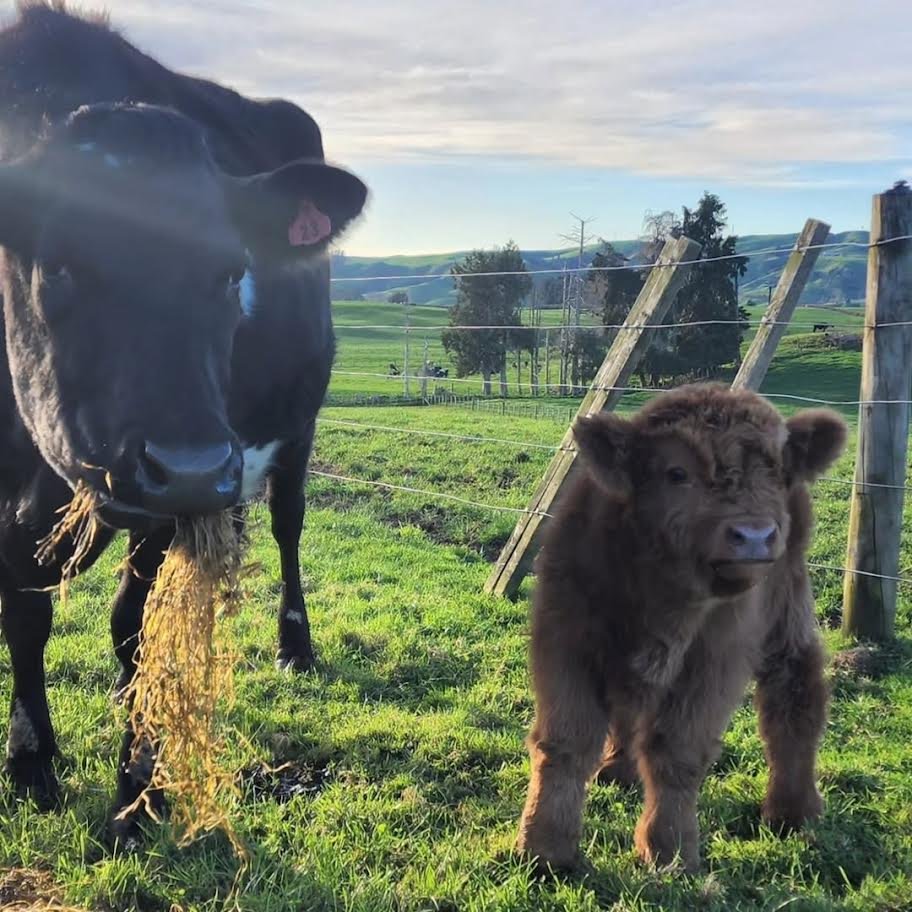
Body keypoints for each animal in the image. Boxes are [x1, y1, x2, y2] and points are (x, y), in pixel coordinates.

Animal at [0, 3, 366, 842]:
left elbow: (129, 626)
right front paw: (31, 760)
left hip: (296, 424)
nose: (194, 467)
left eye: (232, 272)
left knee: (289, 521)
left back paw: (294, 644)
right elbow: (25, 616)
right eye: (58, 263)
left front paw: (138, 785)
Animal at [515, 384, 846, 873]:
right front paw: (544, 848)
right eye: (676, 473)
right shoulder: (567, 640)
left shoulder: (716, 660)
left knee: (794, 698)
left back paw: (793, 810)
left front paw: (668, 849)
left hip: (788, 611)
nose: (753, 535)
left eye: (774, 470)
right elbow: (565, 742)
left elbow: (677, 752)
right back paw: (617, 770)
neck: (662, 599)